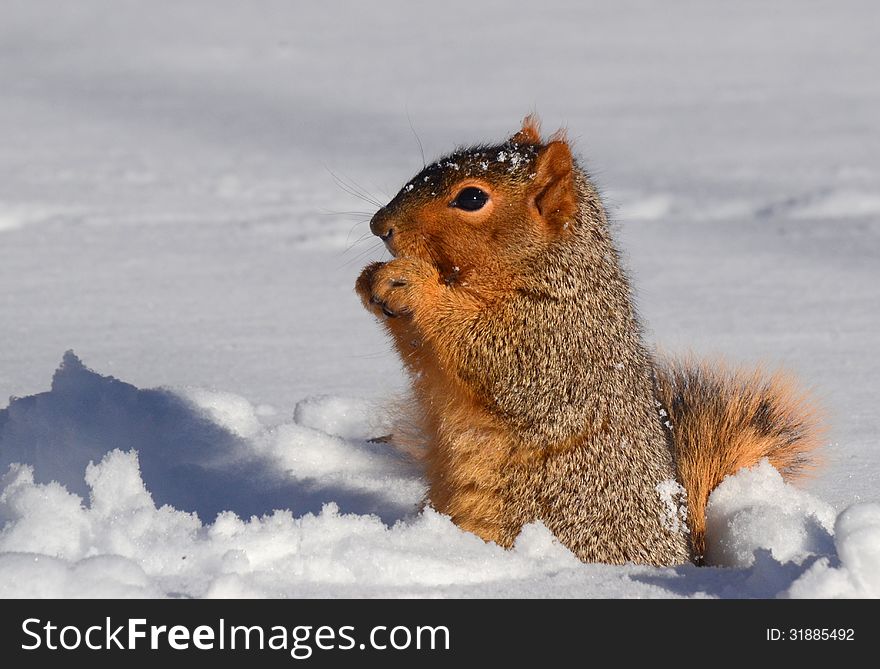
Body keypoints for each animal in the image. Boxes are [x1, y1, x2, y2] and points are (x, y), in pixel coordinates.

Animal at [354, 115, 820, 564]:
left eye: (471, 198)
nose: (380, 225)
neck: (550, 267)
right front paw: (370, 279)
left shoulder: (555, 341)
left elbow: (493, 354)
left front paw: (413, 284)